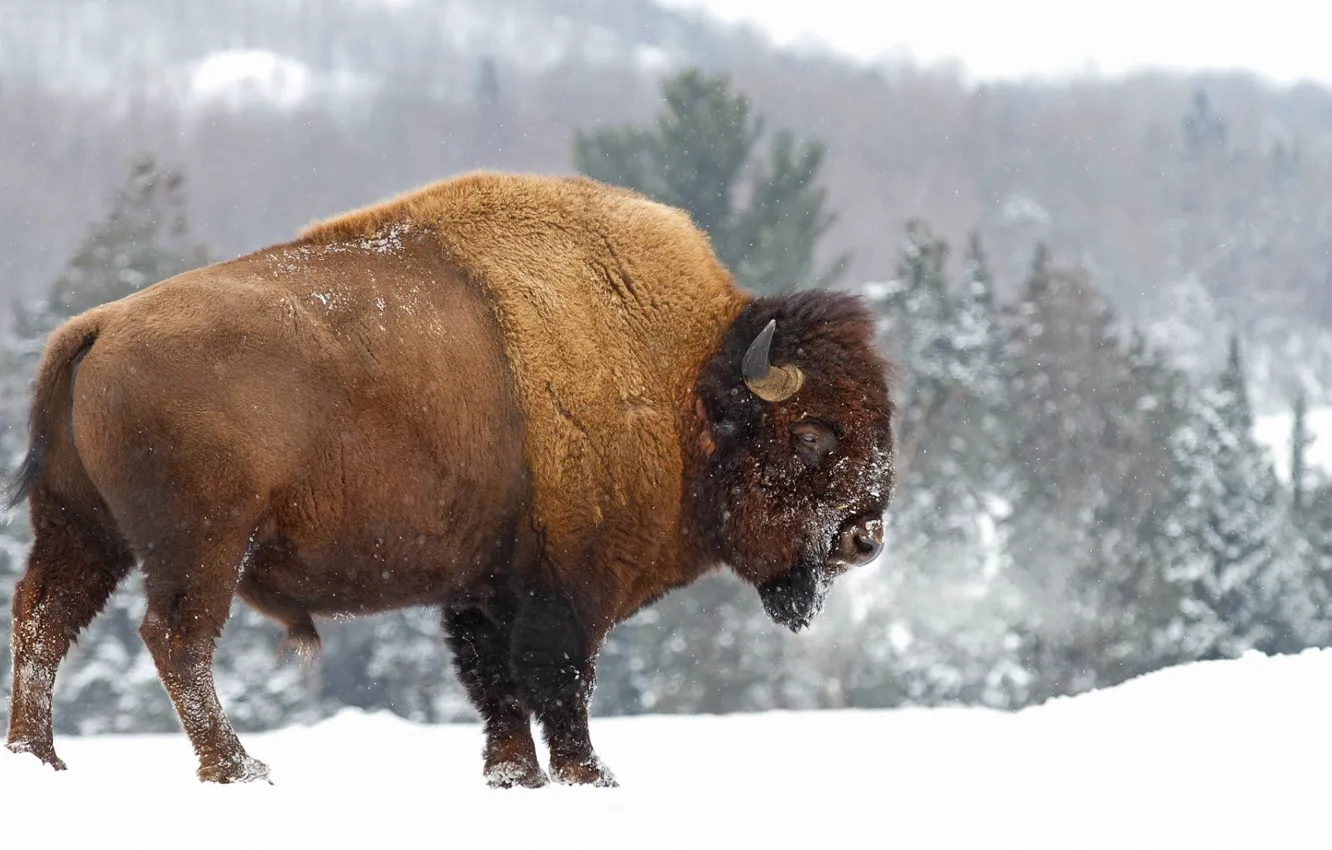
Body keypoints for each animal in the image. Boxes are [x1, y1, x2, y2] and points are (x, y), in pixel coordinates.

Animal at [3, 171, 895, 787]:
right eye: (812, 434)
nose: (867, 536)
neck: (682, 379)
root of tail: (98, 326)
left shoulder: (483, 586)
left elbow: (495, 683)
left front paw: (514, 776)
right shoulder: (567, 587)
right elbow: (559, 680)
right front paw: (589, 775)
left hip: (85, 531)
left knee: (43, 621)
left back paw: (39, 760)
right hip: (201, 546)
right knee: (176, 640)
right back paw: (238, 769)